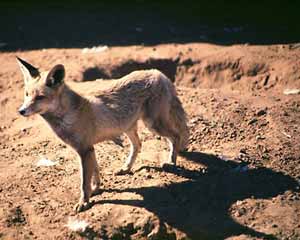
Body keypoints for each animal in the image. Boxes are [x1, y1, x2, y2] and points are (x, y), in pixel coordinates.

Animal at [16, 57, 189, 212]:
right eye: (26, 94)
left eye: (40, 97)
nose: (21, 111)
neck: (71, 115)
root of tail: (157, 73)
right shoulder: (89, 149)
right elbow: (95, 172)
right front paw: (96, 189)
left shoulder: (84, 150)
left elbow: (84, 182)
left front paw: (84, 202)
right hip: (128, 127)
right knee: (138, 145)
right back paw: (126, 168)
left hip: (153, 124)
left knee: (176, 136)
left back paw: (171, 162)